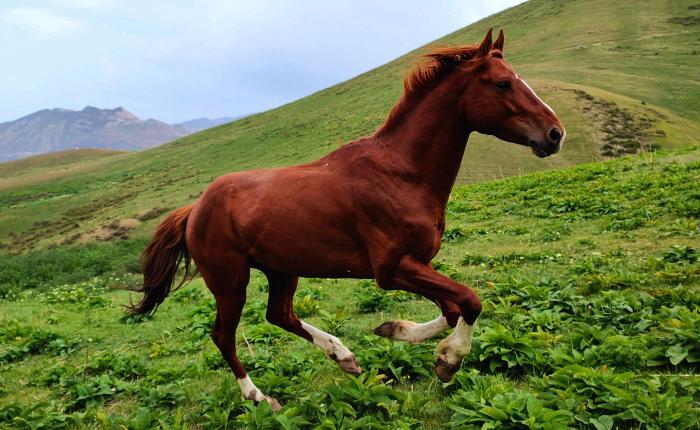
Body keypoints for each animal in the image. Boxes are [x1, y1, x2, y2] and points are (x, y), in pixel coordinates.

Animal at [127, 28, 564, 412]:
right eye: (503, 84)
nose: (555, 133)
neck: (402, 173)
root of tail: (195, 208)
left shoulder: (418, 264)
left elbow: (453, 307)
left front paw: (396, 331)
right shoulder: (391, 269)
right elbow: (470, 300)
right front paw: (449, 361)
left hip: (282, 269)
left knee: (279, 315)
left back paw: (344, 356)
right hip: (230, 281)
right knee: (224, 335)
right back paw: (260, 397)